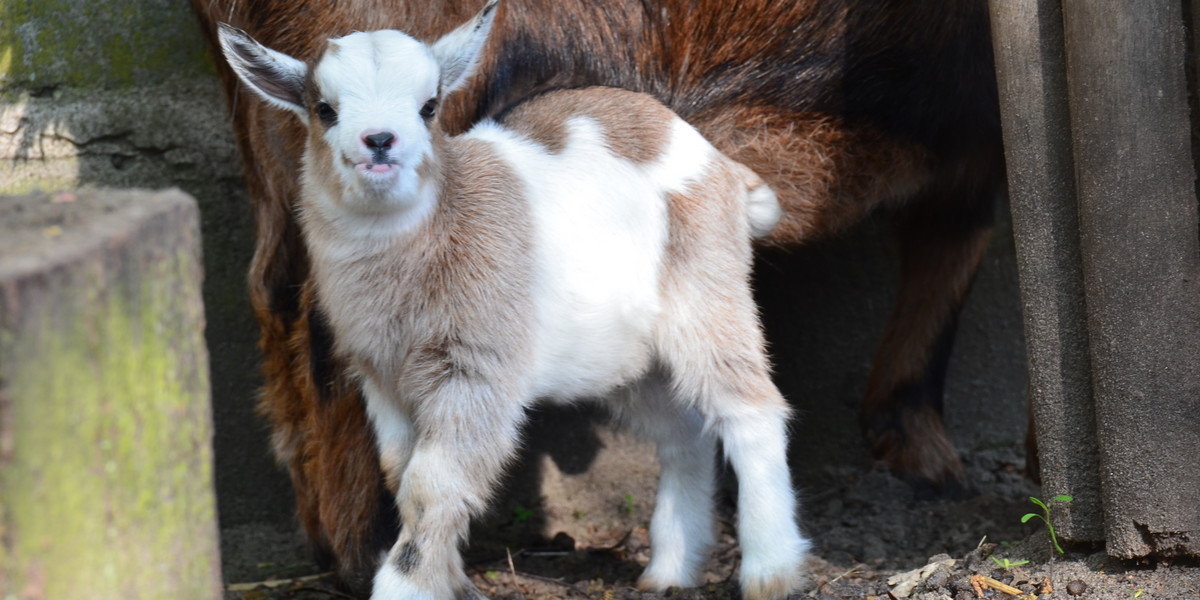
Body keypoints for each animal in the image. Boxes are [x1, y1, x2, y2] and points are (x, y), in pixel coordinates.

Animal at [220, 2, 811, 597]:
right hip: (627, 358)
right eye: (323, 109)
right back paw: (669, 570)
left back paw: (770, 571)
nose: (380, 141)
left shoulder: (477, 368)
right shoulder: (383, 378)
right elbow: (400, 474)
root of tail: (722, 166)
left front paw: (407, 585)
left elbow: (431, 485)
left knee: (750, 409)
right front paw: (452, 582)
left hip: (707, 295)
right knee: (682, 434)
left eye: (430, 106)